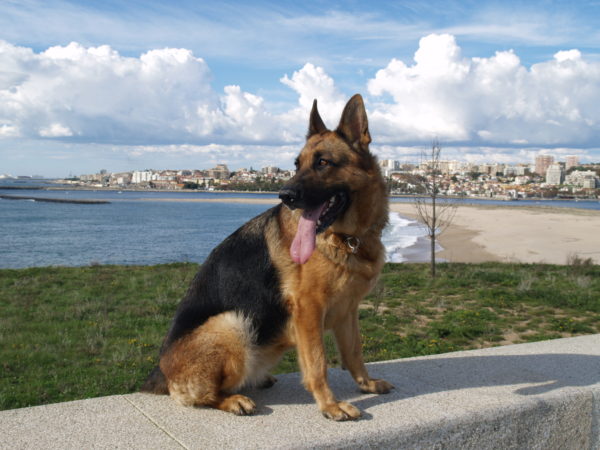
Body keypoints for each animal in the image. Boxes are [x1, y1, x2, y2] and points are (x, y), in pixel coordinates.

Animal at [141, 93, 394, 420]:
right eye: (297, 165)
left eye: (323, 163)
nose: (284, 196)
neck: (347, 239)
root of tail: (161, 373)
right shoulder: (309, 310)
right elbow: (318, 364)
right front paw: (329, 404)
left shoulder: (347, 311)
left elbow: (354, 354)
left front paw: (366, 384)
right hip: (232, 325)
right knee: (205, 396)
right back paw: (233, 400)